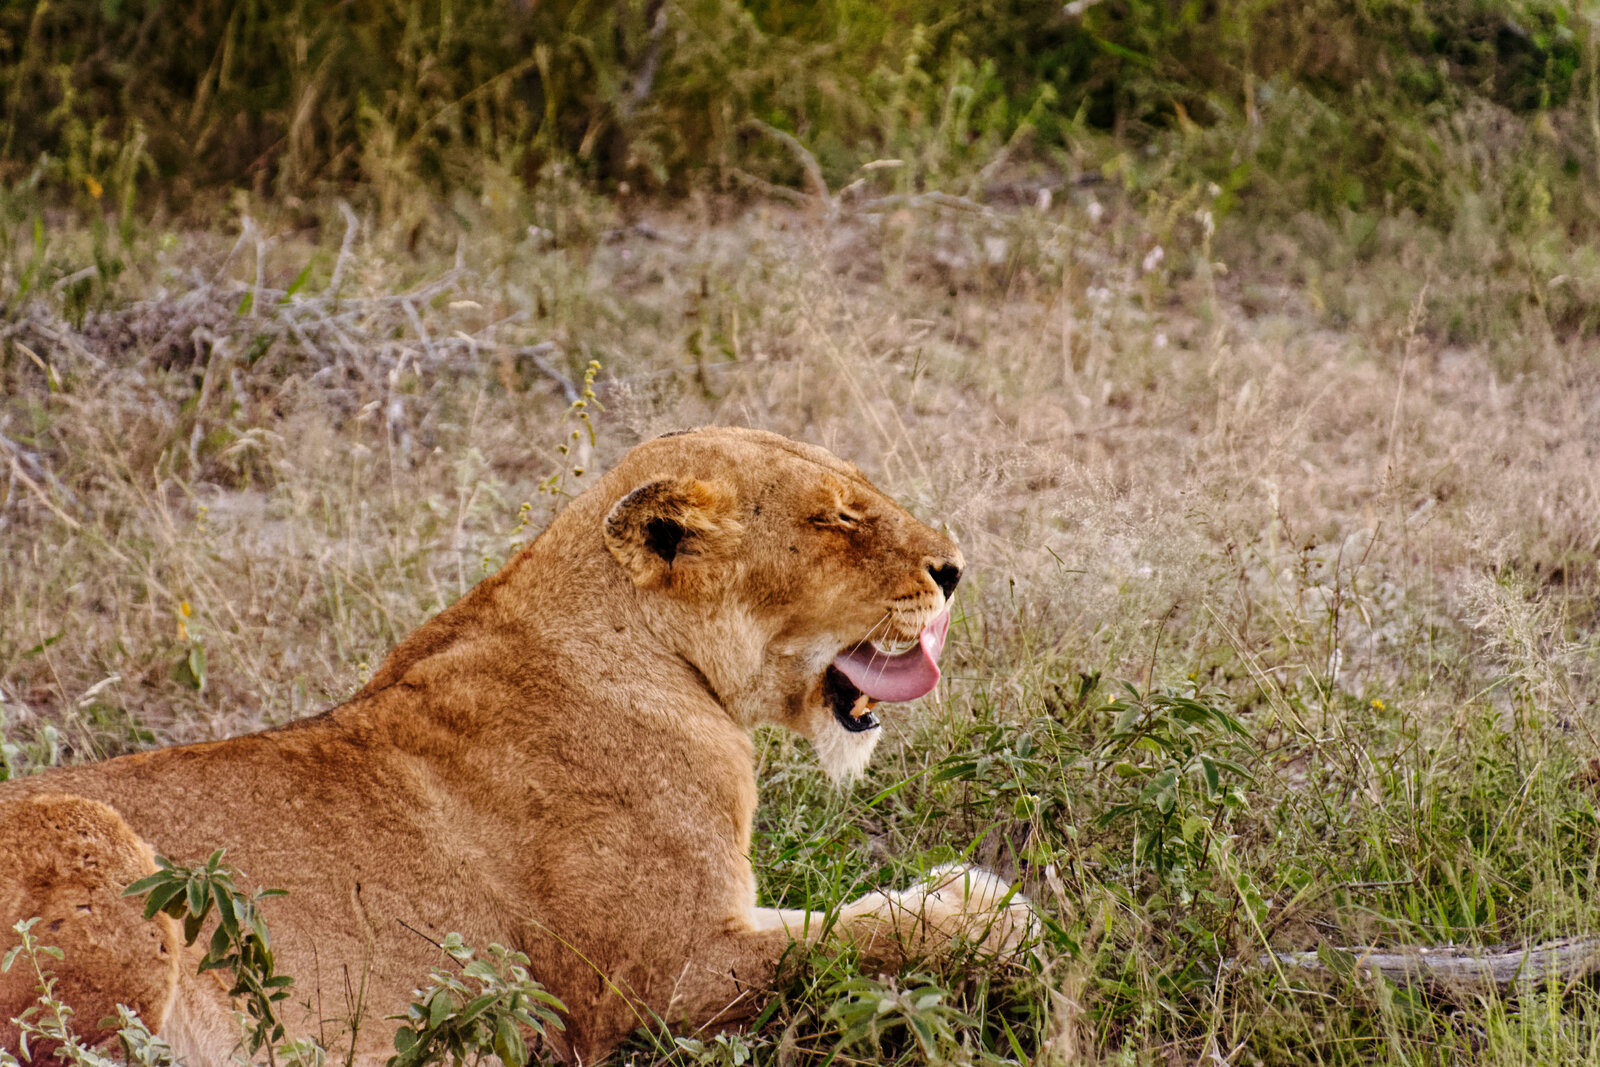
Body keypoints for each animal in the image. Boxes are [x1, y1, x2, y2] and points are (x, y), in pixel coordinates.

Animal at [0, 426, 1030, 1065]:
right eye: (836, 517)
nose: (953, 570)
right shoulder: (659, 985)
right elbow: (858, 938)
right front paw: (984, 904)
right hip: (95, 842)